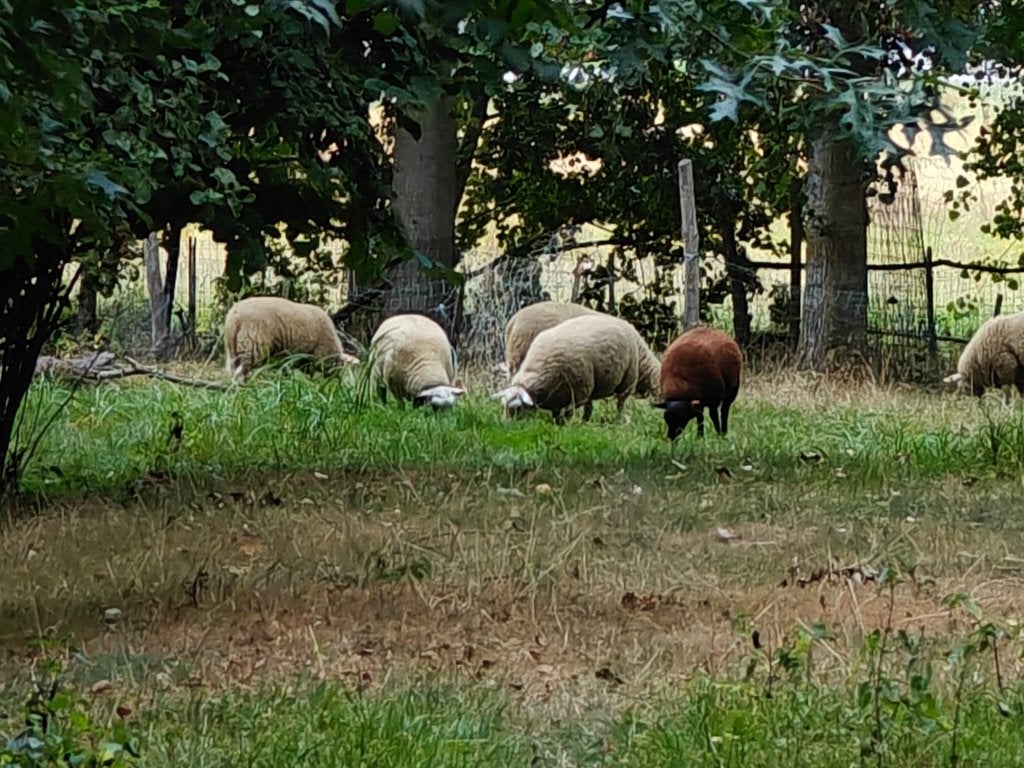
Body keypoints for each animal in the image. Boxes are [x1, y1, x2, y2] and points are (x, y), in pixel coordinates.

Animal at [224, 296, 359, 381]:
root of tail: (235, 316)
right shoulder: (315, 354)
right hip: (253, 346)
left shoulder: (286, 358)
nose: (334, 381)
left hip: (232, 350)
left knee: (233, 372)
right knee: (240, 374)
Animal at [493, 314, 660, 422]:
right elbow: (557, 412)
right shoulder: (558, 395)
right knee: (591, 407)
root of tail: (628, 326)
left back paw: (617, 421)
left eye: (517, 408)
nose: (505, 425)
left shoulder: (578, 393)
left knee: (620, 403)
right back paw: (585, 422)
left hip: (627, 379)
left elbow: (569, 413)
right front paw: (557, 423)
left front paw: (565, 425)